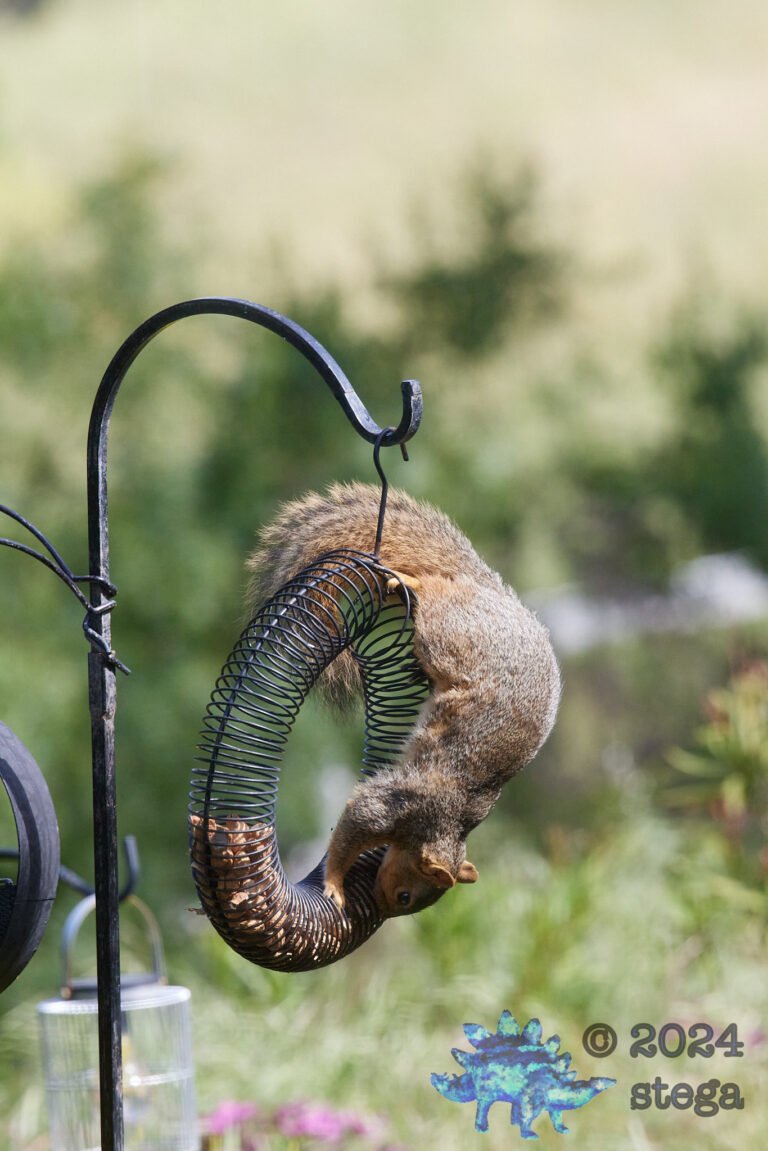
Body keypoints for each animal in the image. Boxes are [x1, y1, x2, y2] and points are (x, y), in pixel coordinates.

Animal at [246, 482, 561, 919]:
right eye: (406, 896)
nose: (379, 910)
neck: (445, 823)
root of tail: (493, 595)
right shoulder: (401, 803)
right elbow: (356, 821)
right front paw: (334, 884)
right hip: (445, 632)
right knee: (430, 589)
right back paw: (404, 579)